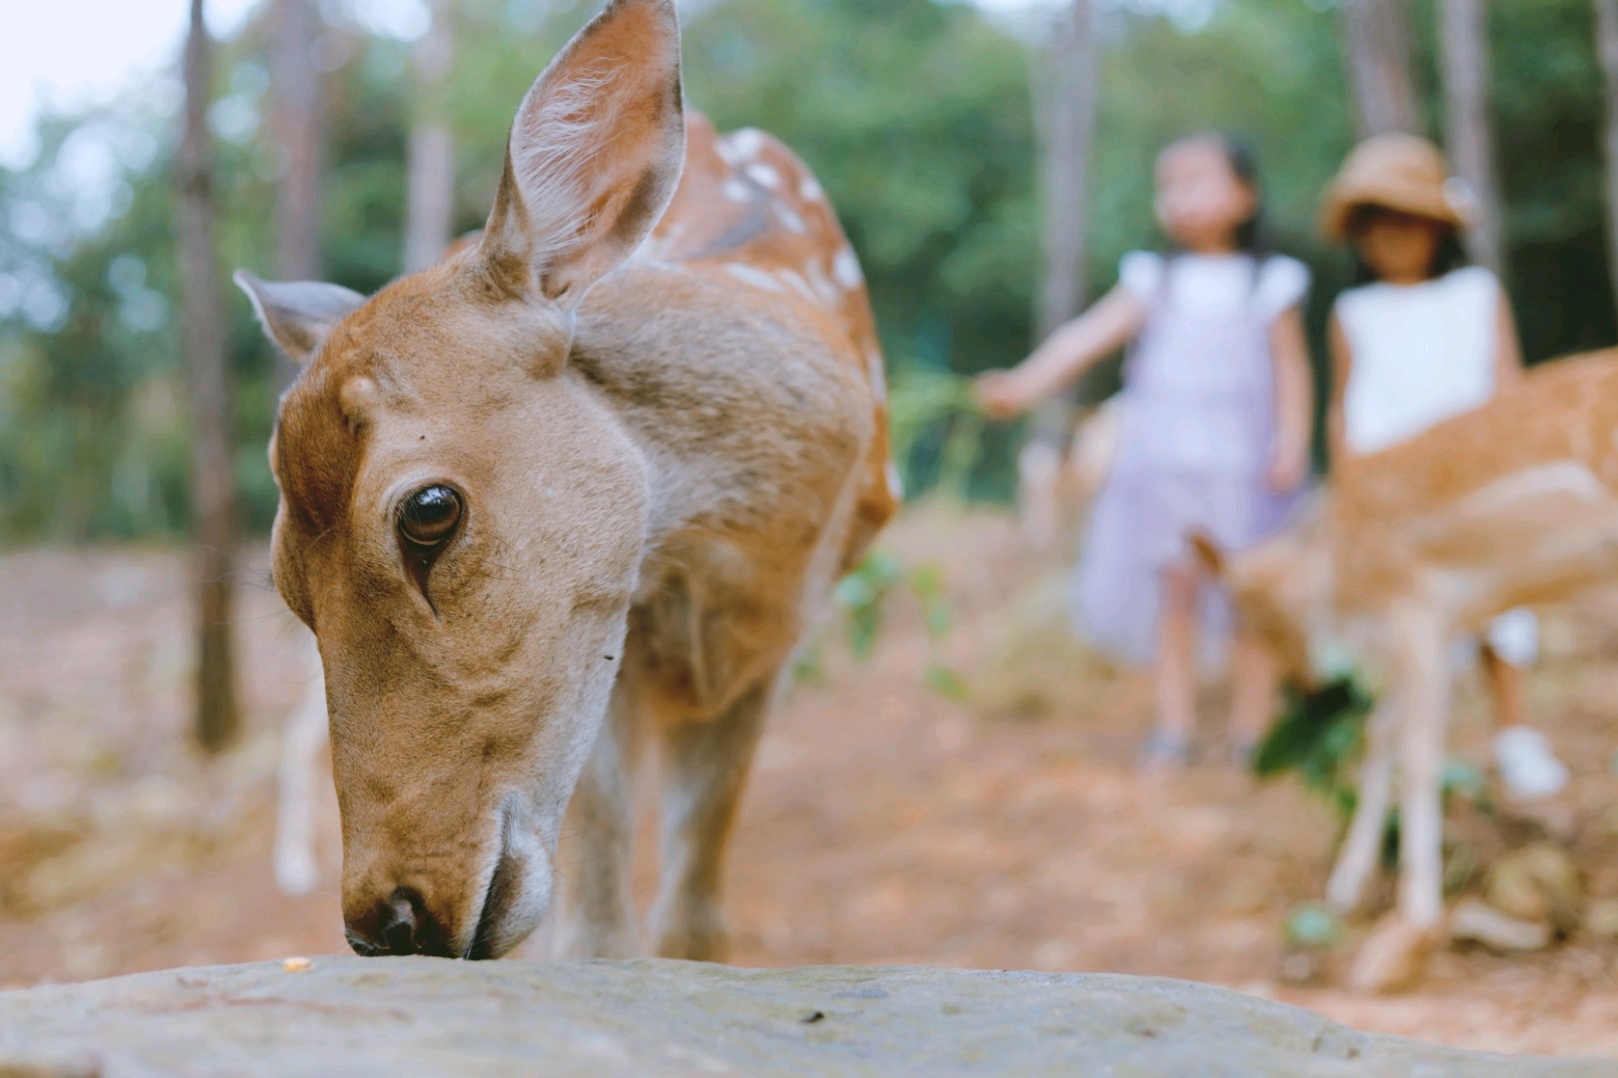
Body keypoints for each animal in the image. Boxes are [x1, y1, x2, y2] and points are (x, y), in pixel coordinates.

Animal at [235, 0, 896, 961]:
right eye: (287, 583)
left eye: (429, 510)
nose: (388, 919)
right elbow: (597, 930)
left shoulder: (772, 648)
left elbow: (692, 920)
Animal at [1193, 348, 1618, 990]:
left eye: (1247, 619)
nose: (1306, 688)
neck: (1336, 570)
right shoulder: (1442, 628)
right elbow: (1379, 741)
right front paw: (1345, 890)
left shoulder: (1415, 612)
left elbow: (1419, 757)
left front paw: (1417, 911)